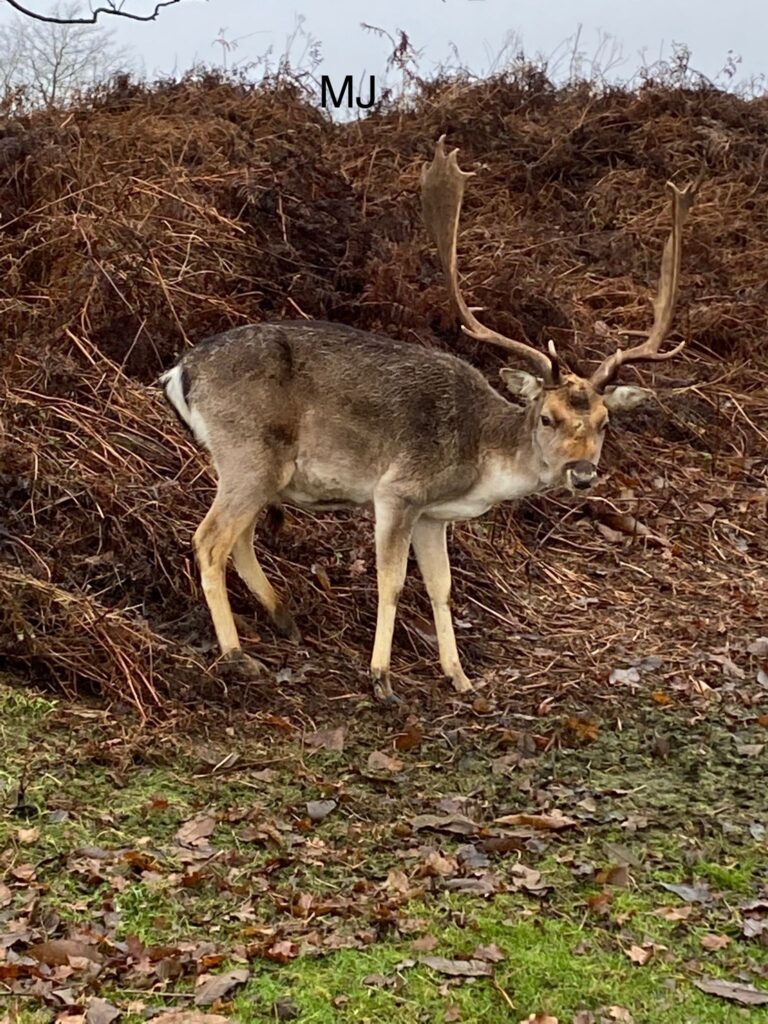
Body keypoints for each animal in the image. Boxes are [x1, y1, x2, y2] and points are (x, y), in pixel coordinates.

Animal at [160, 136, 697, 702]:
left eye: (604, 421)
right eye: (547, 418)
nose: (583, 473)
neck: (477, 463)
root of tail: (179, 371)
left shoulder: (433, 516)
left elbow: (442, 587)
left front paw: (460, 677)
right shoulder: (399, 491)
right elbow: (392, 582)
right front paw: (381, 677)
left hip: (258, 467)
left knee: (238, 537)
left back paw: (284, 618)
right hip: (249, 450)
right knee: (209, 540)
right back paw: (238, 655)